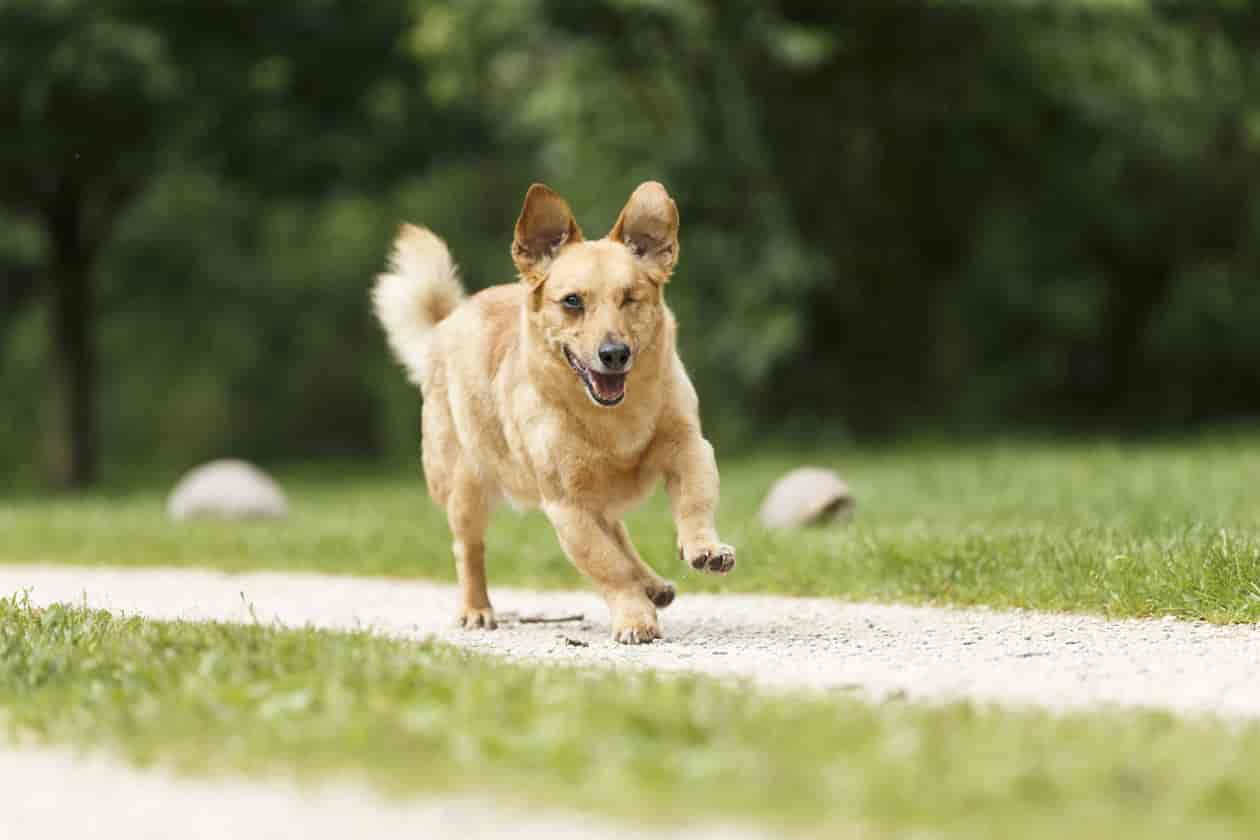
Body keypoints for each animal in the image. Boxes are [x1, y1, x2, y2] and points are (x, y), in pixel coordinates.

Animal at [367, 182, 735, 644]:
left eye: (630, 298)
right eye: (572, 302)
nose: (614, 354)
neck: (613, 420)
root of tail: (446, 322)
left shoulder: (689, 449)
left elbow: (693, 504)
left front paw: (704, 547)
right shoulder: (568, 507)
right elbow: (607, 567)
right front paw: (634, 617)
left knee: (618, 532)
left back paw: (651, 582)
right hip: (466, 489)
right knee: (469, 549)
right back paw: (476, 609)